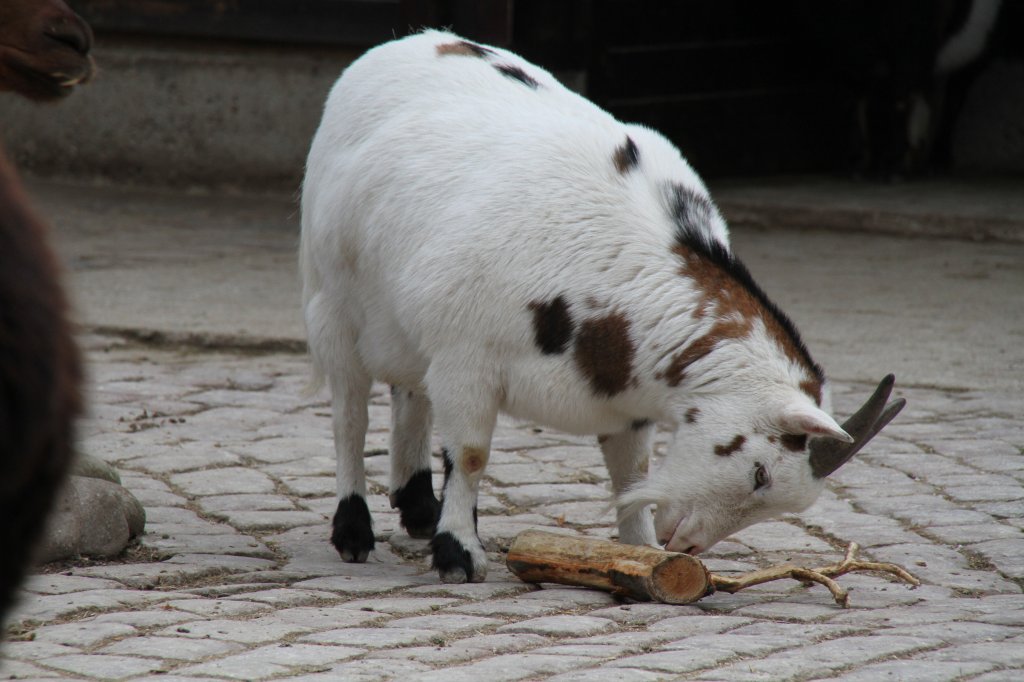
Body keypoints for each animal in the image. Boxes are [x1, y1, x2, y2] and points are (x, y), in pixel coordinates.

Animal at [299, 30, 905, 577]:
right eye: (760, 474)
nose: (687, 544)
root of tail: (399, 46)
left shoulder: (629, 400)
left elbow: (630, 471)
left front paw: (642, 553)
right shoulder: (464, 357)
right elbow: (469, 454)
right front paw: (458, 556)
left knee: (409, 391)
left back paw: (419, 508)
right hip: (333, 301)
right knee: (350, 415)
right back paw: (354, 531)